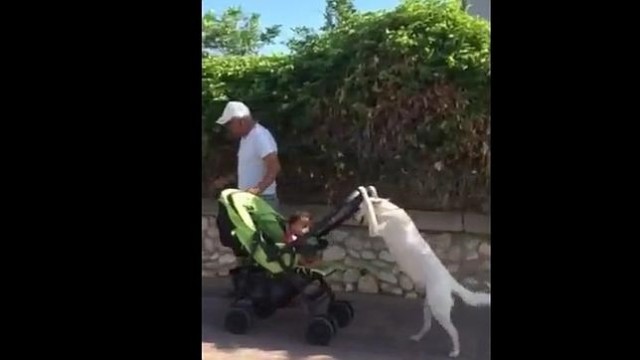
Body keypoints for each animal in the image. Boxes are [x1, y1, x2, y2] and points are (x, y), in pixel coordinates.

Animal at [356, 186, 490, 358]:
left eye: (359, 208)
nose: (354, 217)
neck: (387, 210)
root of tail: (450, 281)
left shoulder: (376, 229)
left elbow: (370, 207)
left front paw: (365, 193)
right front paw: (372, 190)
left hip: (440, 311)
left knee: (454, 332)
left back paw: (455, 351)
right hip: (429, 306)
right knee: (427, 326)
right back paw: (417, 337)